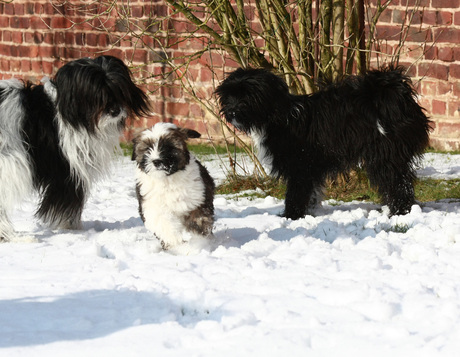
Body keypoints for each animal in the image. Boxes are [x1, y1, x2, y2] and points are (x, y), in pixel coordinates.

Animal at [0, 55, 151, 239]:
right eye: (97, 94)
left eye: (119, 89)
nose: (115, 111)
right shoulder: (68, 169)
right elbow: (69, 201)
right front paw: (73, 229)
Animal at [130, 121, 215, 249]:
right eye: (148, 148)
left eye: (169, 147)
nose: (156, 161)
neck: (167, 180)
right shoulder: (152, 206)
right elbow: (163, 224)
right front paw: (177, 244)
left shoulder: (198, 198)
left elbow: (198, 218)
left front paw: (198, 241)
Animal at [216, 65, 432, 218]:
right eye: (229, 95)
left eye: (247, 95)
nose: (231, 112)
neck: (278, 116)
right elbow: (310, 193)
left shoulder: (299, 165)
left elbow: (295, 193)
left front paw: (290, 217)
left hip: (385, 155)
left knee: (397, 184)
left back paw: (399, 212)